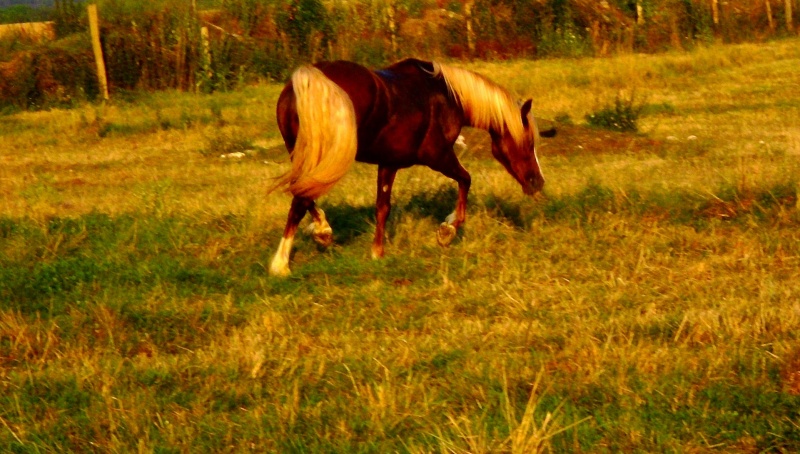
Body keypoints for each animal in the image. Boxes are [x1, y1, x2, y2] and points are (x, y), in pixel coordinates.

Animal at [268, 58, 552, 274]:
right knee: (301, 198)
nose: (538, 182)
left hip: (306, 157)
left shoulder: (389, 163)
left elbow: (383, 207)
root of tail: (310, 79)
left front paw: (377, 252)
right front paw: (447, 230)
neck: (447, 97)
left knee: (304, 194)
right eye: (528, 141)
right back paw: (281, 263)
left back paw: (322, 231)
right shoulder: (437, 156)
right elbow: (466, 179)